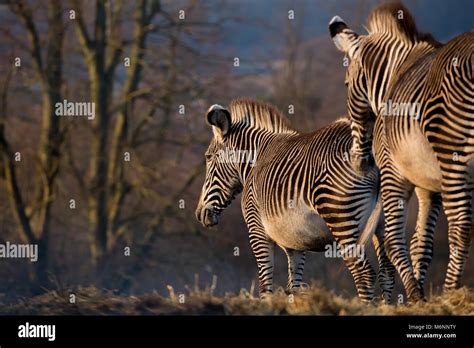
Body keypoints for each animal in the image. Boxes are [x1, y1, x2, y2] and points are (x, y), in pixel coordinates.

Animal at [193, 98, 396, 302]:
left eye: (208, 157)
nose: (200, 214)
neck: (255, 162)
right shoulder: (295, 243)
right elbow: (293, 286)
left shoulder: (257, 230)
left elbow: (265, 284)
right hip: (383, 221)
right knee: (386, 273)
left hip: (341, 217)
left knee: (364, 274)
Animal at [330, 2, 474, 302]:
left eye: (347, 85)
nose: (359, 162)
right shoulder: (428, 186)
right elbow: (422, 243)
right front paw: (419, 292)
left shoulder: (392, 172)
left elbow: (395, 241)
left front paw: (415, 296)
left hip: (453, 156)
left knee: (460, 227)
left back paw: (451, 293)